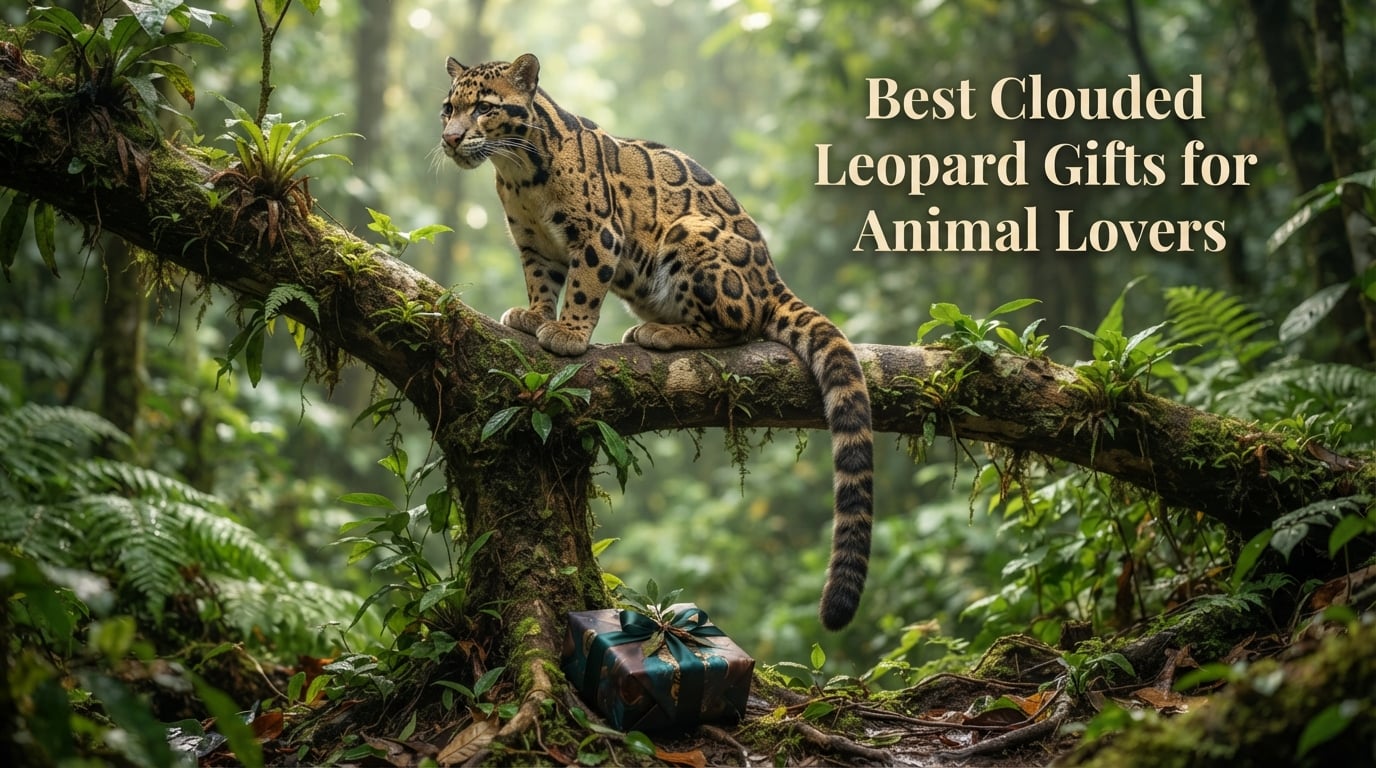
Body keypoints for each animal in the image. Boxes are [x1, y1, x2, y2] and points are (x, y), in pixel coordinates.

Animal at [440, 53, 873, 630]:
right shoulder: (533, 244)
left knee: (737, 325)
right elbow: (541, 283)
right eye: (448, 108)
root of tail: (772, 277)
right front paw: (532, 316)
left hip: (691, 236)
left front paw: (569, 333)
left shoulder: (600, 235)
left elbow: (584, 286)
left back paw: (661, 333)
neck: (519, 174)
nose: (449, 138)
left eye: (484, 108)